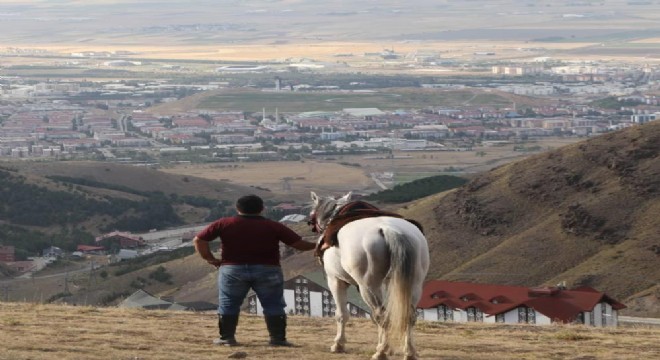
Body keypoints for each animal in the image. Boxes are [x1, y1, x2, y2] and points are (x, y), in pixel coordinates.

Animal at [308, 193, 430, 360]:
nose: (311, 224)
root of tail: (390, 230)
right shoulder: (388, 283)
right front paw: (387, 346)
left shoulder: (336, 280)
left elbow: (341, 314)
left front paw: (338, 344)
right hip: (414, 284)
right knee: (408, 315)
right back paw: (409, 352)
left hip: (368, 287)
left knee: (381, 315)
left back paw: (380, 353)